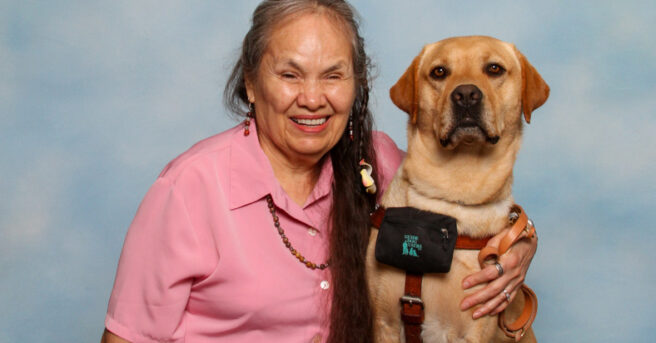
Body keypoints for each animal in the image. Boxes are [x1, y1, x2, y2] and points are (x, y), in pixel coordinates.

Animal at [368, 36, 548, 342]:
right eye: (439, 72)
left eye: (494, 69)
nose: (465, 94)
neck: (452, 192)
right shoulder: (383, 323)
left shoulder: (474, 327)